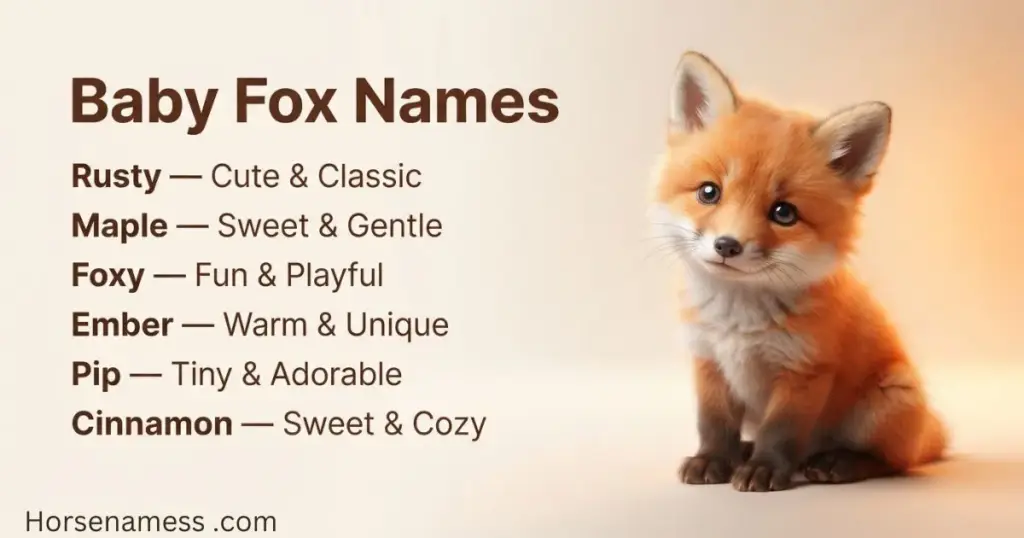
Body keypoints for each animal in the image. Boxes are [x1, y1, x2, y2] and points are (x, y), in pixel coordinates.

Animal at [650, 51, 948, 492]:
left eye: (784, 213)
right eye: (708, 192)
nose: (727, 246)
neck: (738, 321)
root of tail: (932, 429)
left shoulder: (804, 370)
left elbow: (781, 431)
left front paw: (766, 468)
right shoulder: (708, 359)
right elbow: (714, 424)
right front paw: (713, 460)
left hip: (885, 404)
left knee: (894, 460)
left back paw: (837, 463)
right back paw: (745, 451)